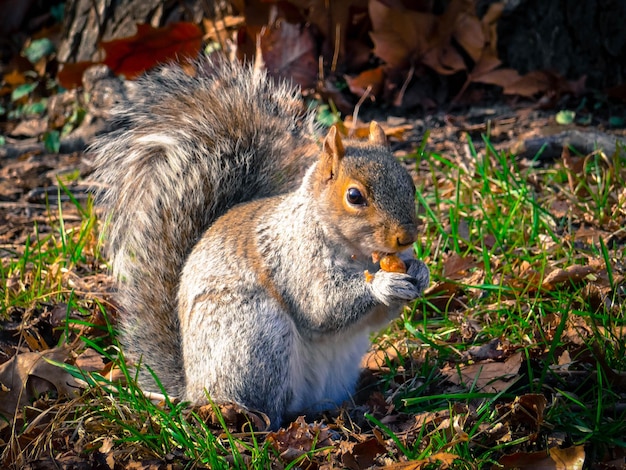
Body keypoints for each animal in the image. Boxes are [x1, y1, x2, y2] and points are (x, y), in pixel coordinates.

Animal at [90, 57, 426, 428]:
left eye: (410, 184)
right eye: (354, 196)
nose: (406, 237)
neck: (359, 255)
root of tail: (193, 387)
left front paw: (420, 272)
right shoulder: (293, 257)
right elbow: (321, 306)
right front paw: (383, 284)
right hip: (255, 336)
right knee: (271, 407)